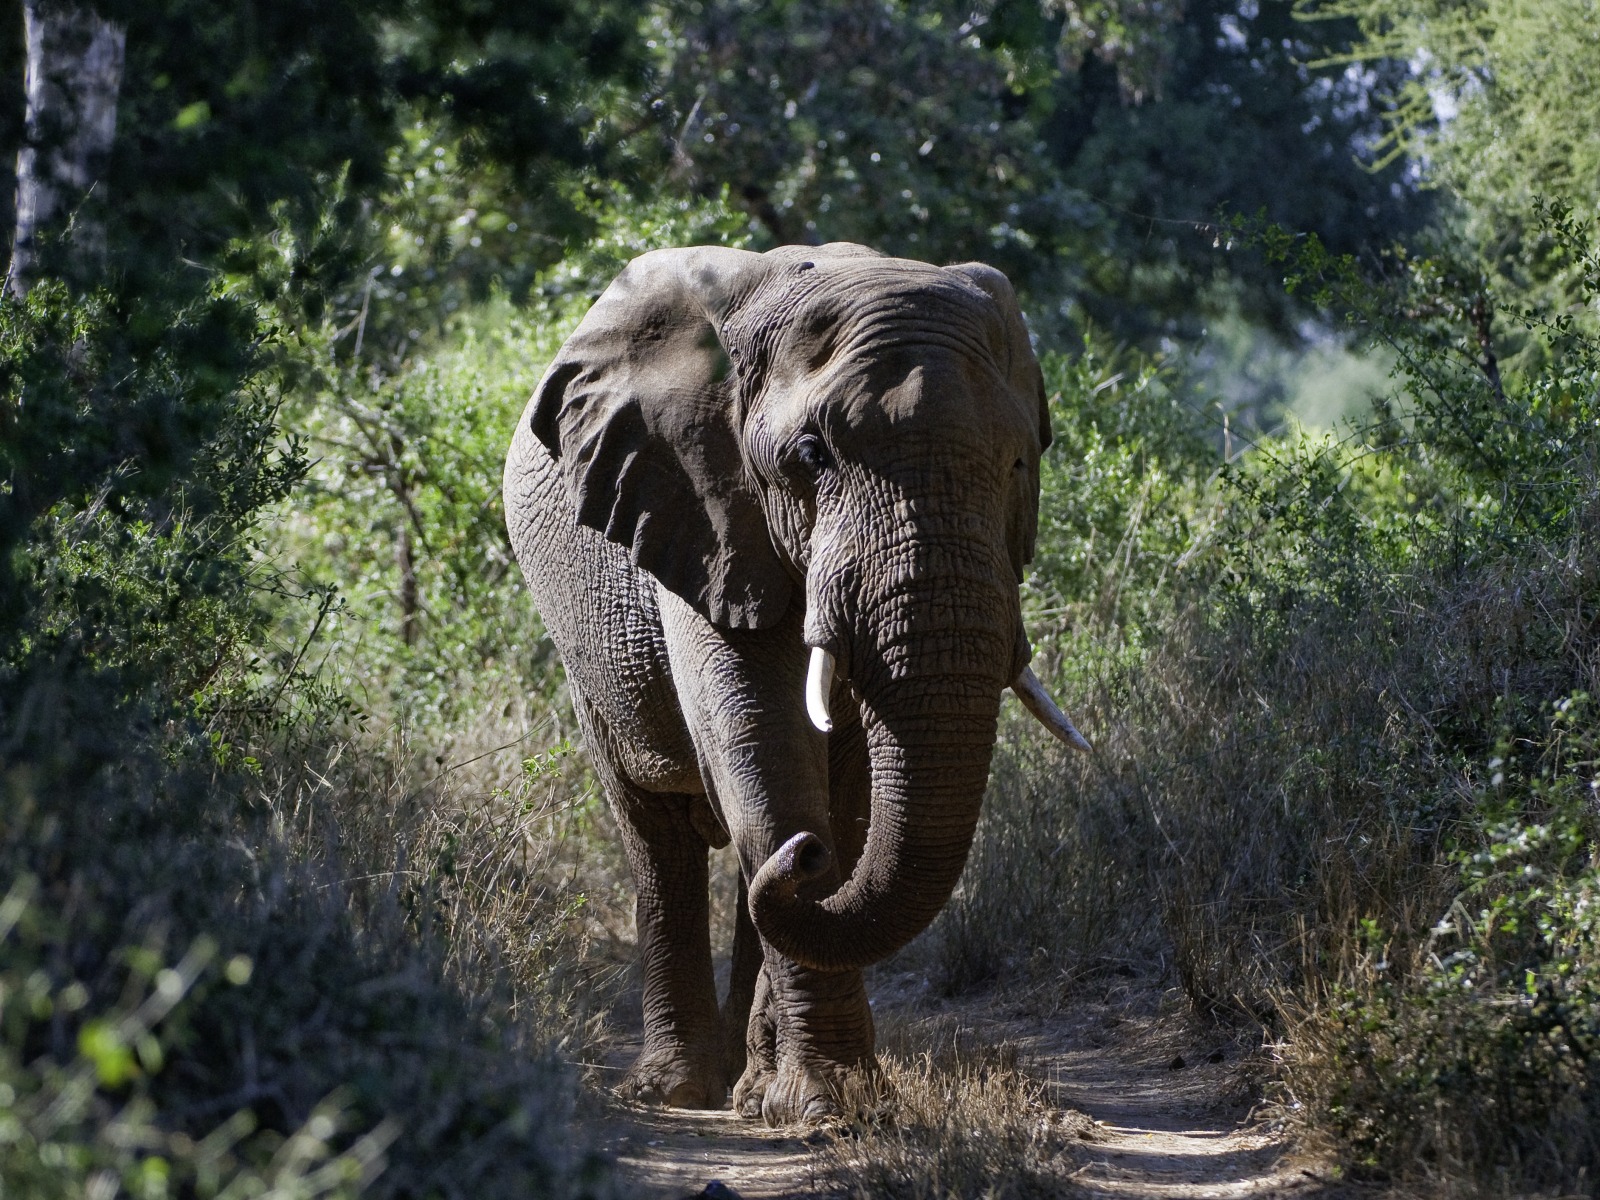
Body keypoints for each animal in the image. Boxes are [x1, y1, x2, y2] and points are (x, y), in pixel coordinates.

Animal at [502, 242, 1089, 1125]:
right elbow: (763, 754)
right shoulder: (705, 512)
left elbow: (840, 796)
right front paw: (826, 1106)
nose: (805, 860)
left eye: (1020, 461)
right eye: (813, 457)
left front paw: (815, 1098)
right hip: (580, 645)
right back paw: (677, 1089)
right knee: (658, 834)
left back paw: (742, 1084)